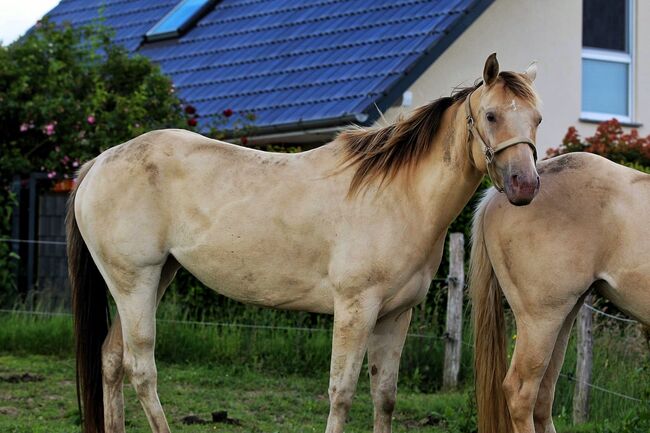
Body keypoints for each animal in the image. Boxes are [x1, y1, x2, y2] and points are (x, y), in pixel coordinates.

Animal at [67, 54, 540, 432]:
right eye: (492, 115)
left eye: (536, 118)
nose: (525, 185)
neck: (396, 195)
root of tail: (98, 163)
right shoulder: (355, 310)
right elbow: (341, 394)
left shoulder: (395, 316)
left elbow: (384, 397)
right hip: (136, 283)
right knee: (140, 368)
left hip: (154, 278)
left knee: (111, 359)